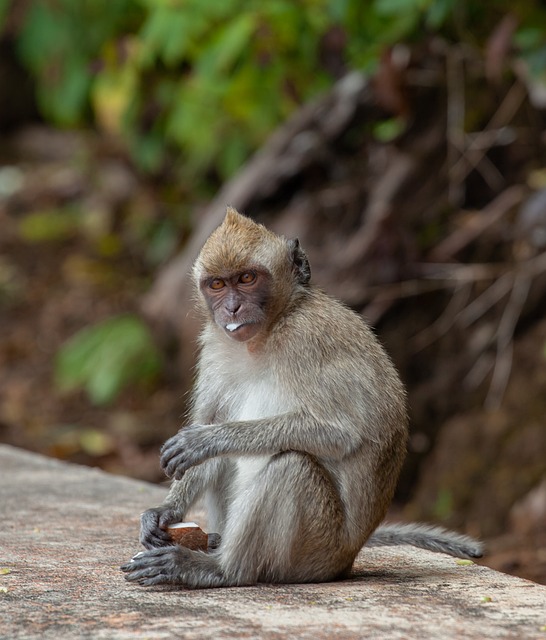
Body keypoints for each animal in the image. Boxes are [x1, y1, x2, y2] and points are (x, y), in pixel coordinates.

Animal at [120, 208, 480, 588]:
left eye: (247, 278)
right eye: (217, 284)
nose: (232, 308)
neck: (266, 333)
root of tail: (349, 557)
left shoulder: (307, 339)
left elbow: (341, 434)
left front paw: (206, 440)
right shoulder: (215, 346)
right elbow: (212, 424)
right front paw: (165, 511)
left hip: (317, 550)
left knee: (292, 465)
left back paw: (219, 569)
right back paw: (215, 543)